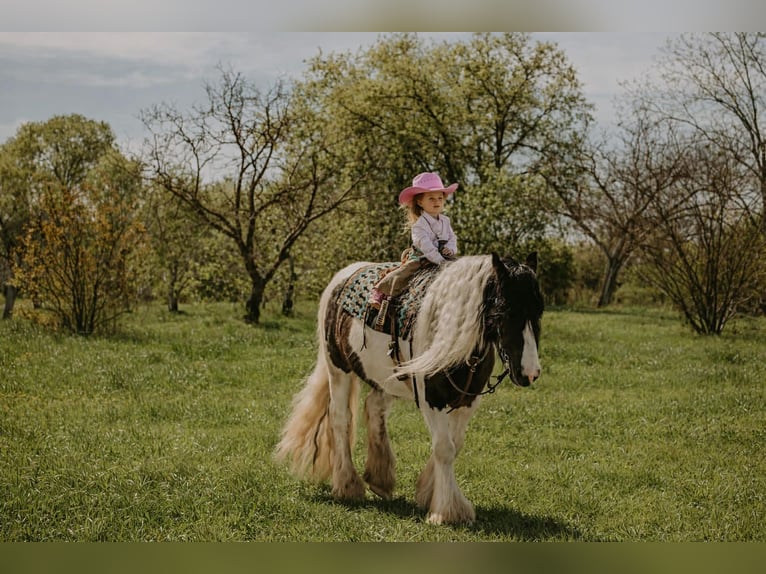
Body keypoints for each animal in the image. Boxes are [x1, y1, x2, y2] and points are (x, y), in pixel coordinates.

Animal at [274, 252, 543, 525]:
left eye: (538, 312)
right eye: (506, 311)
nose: (530, 373)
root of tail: (343, 275)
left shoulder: (468, 401)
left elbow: (455, 444)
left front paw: (428, 492)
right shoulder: (430, 399)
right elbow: (444, 448)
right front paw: (446, 511)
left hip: (384, 378)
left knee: (374, 410)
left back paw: (380, 478)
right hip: (338, 370)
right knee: (340, 420)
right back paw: (348, 485)